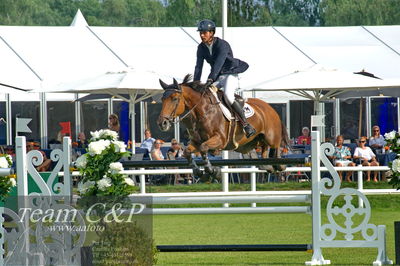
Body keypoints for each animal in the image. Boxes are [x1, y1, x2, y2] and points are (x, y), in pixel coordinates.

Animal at [156, 74, 288, 179]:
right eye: (162, 99)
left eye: (174, 99)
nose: (162, 123)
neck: (203, 111)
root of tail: (270, 107)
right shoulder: (196, 141)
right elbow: (188, 152)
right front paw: (198, 172)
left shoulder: (220, 139)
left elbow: (204, 148)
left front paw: (212, 171)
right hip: (250, 143)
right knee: (264, 148)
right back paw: (267, 165)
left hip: (271, 137)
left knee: (275, 147)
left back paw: (279, 164)